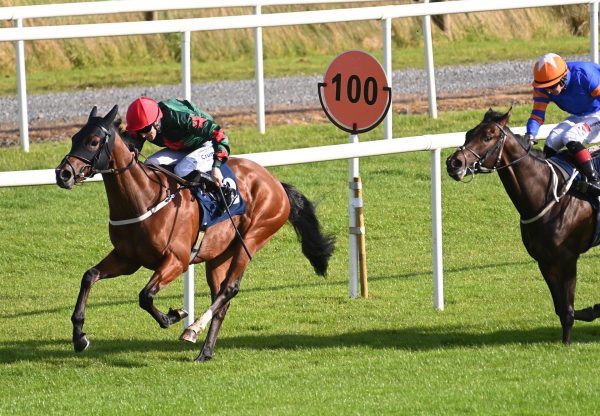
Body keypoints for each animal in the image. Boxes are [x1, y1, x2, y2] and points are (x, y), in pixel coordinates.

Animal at [55, 105, 338, 360]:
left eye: (93, 141)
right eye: (74, 138)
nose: (63, 174)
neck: (144, 198)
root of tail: (275, 183)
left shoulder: (176, 260)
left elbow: (146, 296)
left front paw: (174, 316)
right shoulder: (128, 259)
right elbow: (89, 276)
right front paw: (79, 337)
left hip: (252, 238)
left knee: (230, 289)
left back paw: (192, 330)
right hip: (218, 254)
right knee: (221, 297)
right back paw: (206, 351)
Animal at [448, 107, 600, 344]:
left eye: (488, 136)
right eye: (467, 133)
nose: (454, 163)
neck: (547, 194)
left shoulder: (568, 259)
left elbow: (567, 310)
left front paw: (567, 342)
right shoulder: (544, 260)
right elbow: (561, 308)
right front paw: (592, 311)